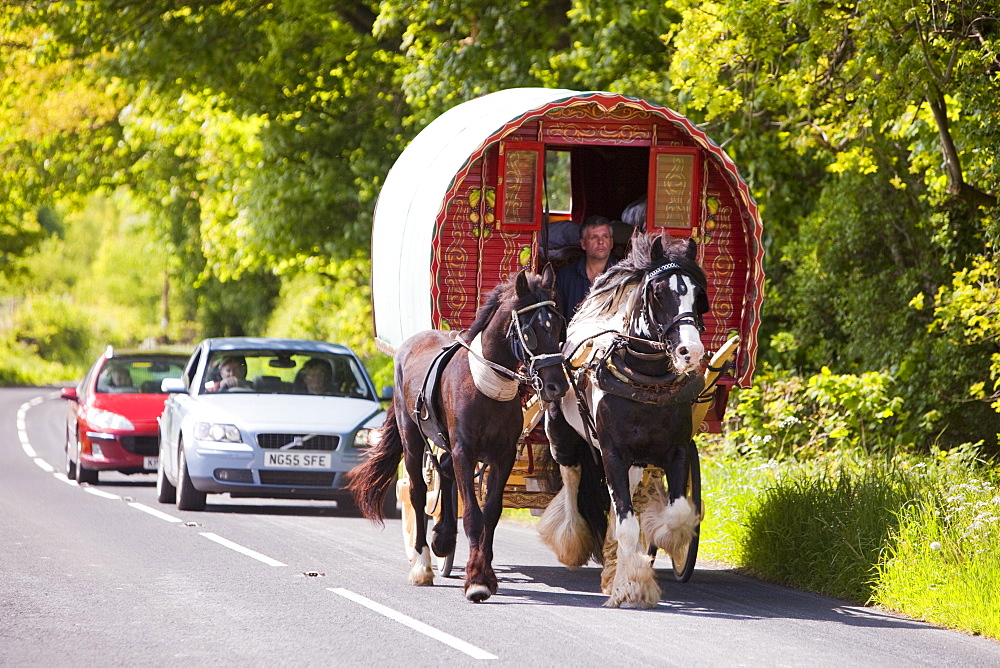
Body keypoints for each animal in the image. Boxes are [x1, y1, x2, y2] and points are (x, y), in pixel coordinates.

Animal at [540, 232, 712, 608]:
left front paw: (662, 535)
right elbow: (627, 522)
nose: (690, 352)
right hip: (562, 436)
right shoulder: (613, 453)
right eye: (659, 292)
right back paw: (572, 541)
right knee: (572, 480)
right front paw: (632, 585)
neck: (646, 382)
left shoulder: (677, 450)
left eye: (698, 294)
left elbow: (676, 512)